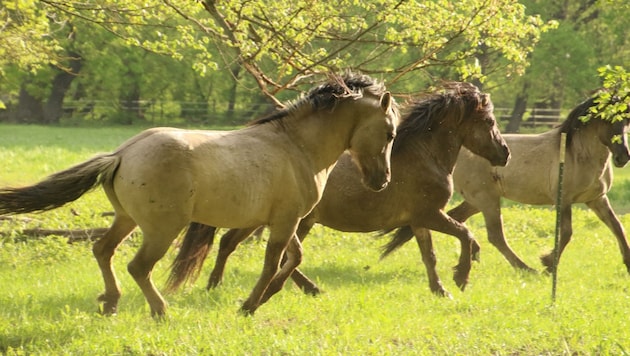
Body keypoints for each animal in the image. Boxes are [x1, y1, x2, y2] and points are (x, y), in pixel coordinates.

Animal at [0, 72, 400, 318]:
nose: (382, 181)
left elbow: (294, 259)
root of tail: (123, 153)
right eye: (390, 132)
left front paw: (267, 296)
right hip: (162, 229)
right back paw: (161, 311)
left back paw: (110, 303)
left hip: (127, 220)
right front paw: (249, 305)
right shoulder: (285, 221)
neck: (296, 146)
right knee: (138, 266)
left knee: (103, 250)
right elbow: (275, 263)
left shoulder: (282, 221)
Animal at [169, 81, 512, 298]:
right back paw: (305, 288)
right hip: (288, 219)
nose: (505, 153)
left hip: (270, 218)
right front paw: (461, 277)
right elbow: (466, 235)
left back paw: (216, 285)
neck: (423, 154)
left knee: (230, 243)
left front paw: (440, 290)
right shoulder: (430, 214)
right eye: (490, 121)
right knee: (258, 250)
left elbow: (430, 256)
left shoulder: (419, 220)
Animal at [382, 95, 630, 284]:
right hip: (487, 200)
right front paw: (548, 263)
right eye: (609, 121)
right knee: (495, 236)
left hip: (477, 201)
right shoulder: (564, 199)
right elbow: (567, 232)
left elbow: (617, 228)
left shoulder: (597, 199)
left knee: (457, 219)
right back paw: (524, 268)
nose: (622, 157)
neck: (578, 154)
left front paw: (627, 263)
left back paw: (475, 253)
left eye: (626, 122)